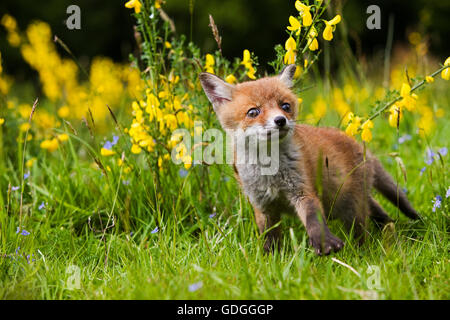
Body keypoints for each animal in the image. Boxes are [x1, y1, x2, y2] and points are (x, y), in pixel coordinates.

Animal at [199, 64, 420, 255]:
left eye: (285, 106)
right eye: (253, 112)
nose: (280, 120)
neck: (269, 172)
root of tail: (357, 144)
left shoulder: (303, 191)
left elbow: (313, 218)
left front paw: (324, 243)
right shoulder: (262, 205)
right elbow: (269, 237)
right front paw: (270, 259)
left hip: (352, 208)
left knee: (363, 227)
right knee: (380, 214)